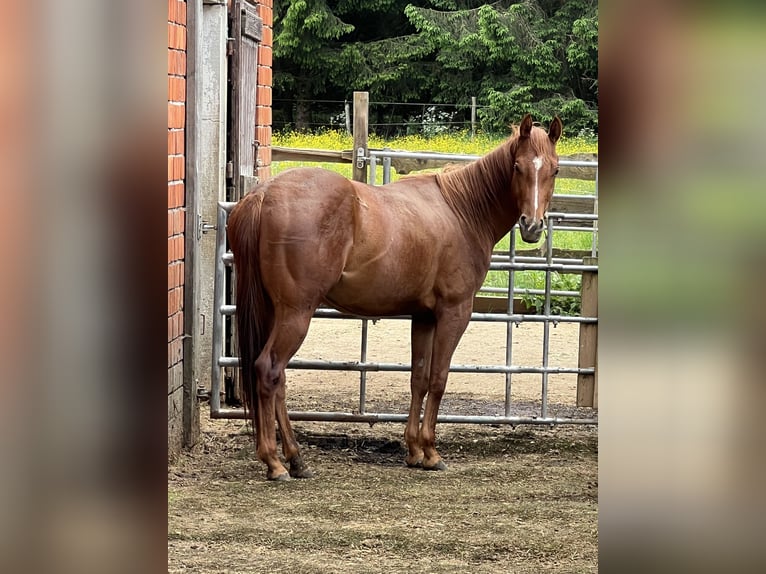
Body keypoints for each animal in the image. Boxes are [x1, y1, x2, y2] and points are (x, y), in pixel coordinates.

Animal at [227, 114, 563, 480]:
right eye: (517, 166)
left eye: (555, 170)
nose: (532, 226)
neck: (461, 210)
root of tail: (263, 195)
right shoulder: (454, 312)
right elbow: (438, 379)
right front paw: (431, 452)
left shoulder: (424, 317)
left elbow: (419, 378)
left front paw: (414, 450)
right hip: (296, 312)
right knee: (268, 370)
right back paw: (275, 462)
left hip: (276, 311)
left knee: (279, 380)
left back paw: (296, 458)